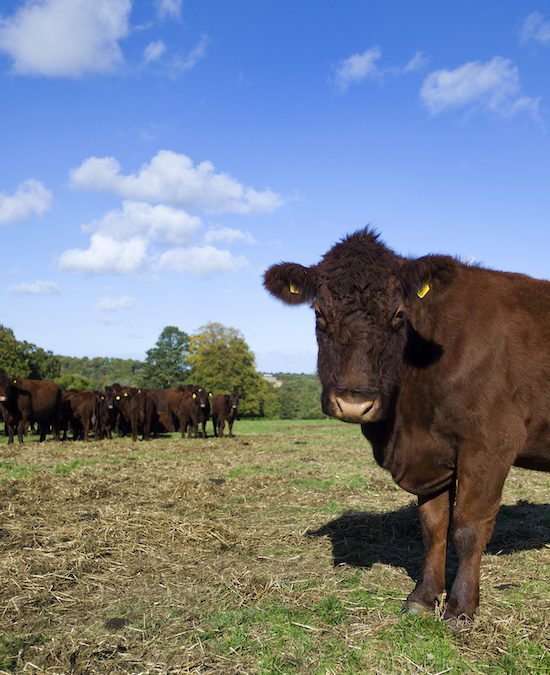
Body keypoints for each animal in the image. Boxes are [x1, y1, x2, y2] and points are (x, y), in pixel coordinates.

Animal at [264, 230, 550, 620]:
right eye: (320, 314)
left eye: (399, 314)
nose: (354, 402)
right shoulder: (430, 454)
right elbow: (433, 526)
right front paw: (422, 597)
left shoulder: (492, 441)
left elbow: (468, 526)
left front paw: (460, 609)